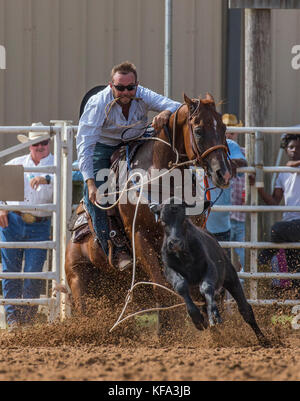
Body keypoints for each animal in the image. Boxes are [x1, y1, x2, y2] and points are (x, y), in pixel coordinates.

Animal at [64, 94, 231, 324]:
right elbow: (164, 289)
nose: (223, 173)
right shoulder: (139, 235)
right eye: (198, 130)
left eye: (223, 128)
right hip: (80, 281)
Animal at [154, 196, 268, 344]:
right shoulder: (169, 270)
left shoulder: (210, 268)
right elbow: (181, 285)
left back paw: (263, 339)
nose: (175, 243)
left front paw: (213, 313)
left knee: (245, 309)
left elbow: (206, 287)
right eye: (163, 221)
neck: (184, 255)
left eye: (184, 219)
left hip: (231, 277)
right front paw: (197, 318)